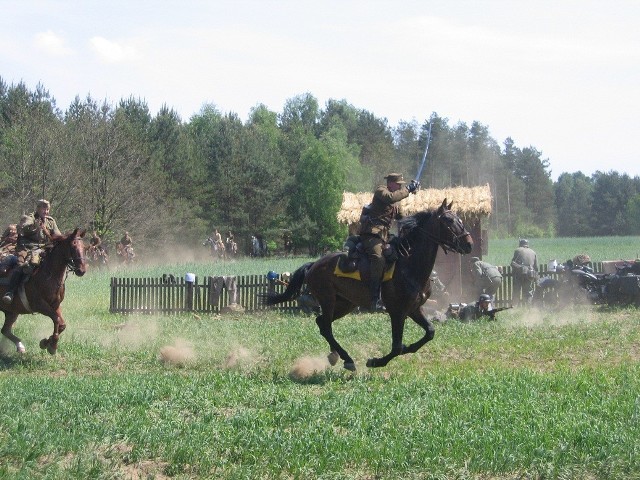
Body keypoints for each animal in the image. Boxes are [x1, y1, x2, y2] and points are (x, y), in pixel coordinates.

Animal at [264, 199, 476, 372]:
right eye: (448, 220)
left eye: (459, 218)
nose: (469, 244)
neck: (409, 265)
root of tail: (314, 265)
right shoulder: (397, 312)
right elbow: (396, 347)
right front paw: (375, 361)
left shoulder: (414, 309)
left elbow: (430, 332)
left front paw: (409, 347)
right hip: (328, 299)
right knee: (326, 326)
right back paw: (347, 359)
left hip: (345, 303)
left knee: (322, 323)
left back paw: (336, 355)